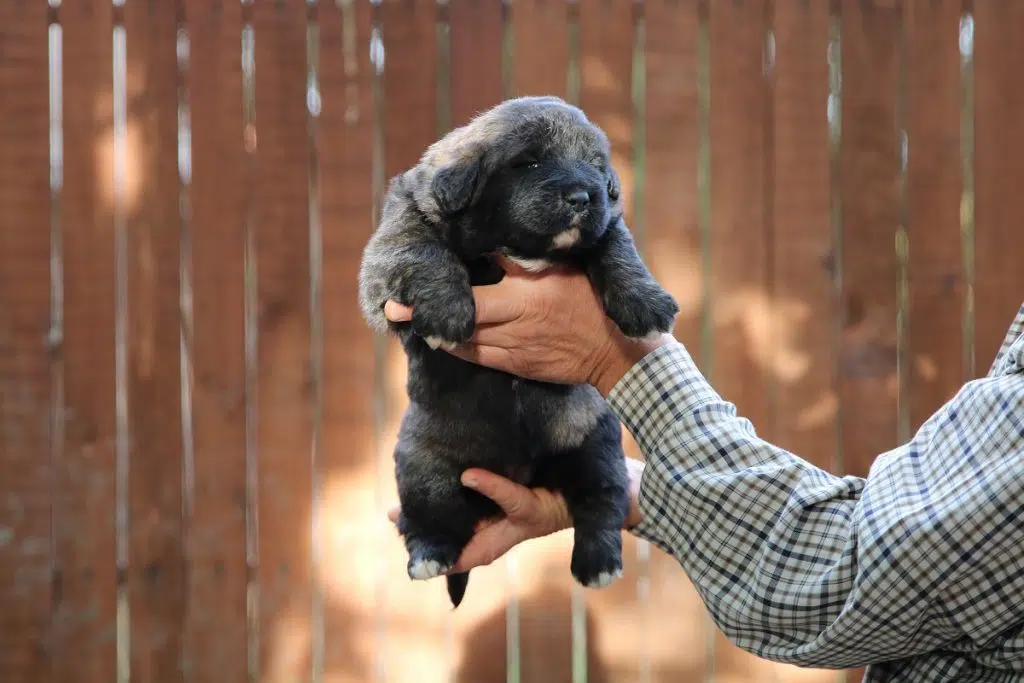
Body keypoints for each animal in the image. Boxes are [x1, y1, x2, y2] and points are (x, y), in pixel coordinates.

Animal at [356, 96, 675, 610]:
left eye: (596, 165)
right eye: (529, 163)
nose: (584, 198)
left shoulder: (607, 227)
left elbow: (618, 246)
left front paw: (644, 301)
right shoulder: (394, 247)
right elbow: (420, 248)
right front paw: (447, 310)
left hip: (596, 442)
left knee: (602, 501)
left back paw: (599, 563)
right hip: (421, 464)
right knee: (430, 517)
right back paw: (429, 555)